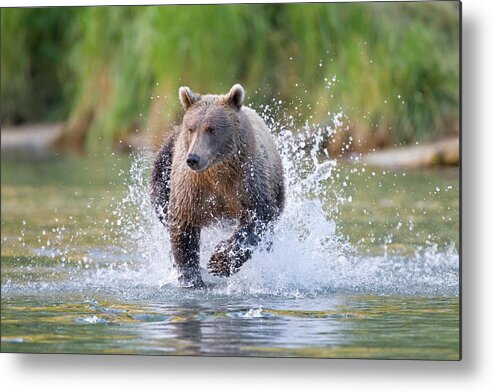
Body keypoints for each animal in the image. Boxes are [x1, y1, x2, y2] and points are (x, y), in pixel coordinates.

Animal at [150, 84, 284, 288]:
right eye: (191, 128)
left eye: (210, 129)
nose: (193, 159)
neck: (217, 172)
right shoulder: (190, 186)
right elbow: (183, 226)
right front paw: (191, 278)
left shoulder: (248, 181)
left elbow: (258, 217)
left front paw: (219, 261)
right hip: (165, 164)